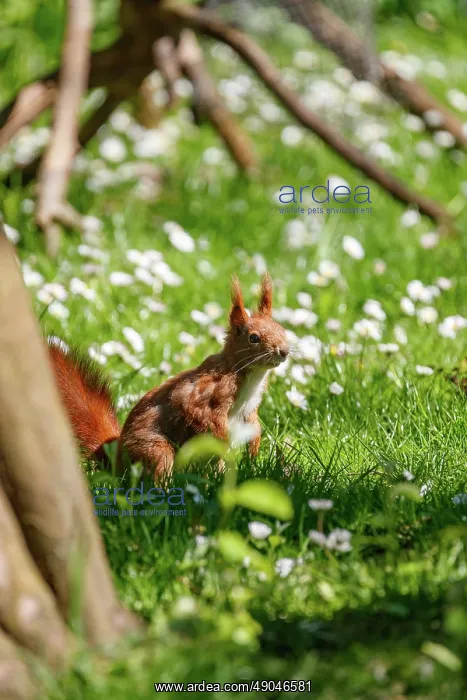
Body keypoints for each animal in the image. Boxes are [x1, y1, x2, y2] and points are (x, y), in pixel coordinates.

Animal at [48, 275, 289, 480]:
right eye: (253, 338)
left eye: (283, 330)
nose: (284, 351)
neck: (250, 374)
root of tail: (117, 462)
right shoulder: (207, 393)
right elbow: (204, 417)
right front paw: (226, 443)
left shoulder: (250, 407)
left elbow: (253, 424)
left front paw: (253, 452)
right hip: (155, 450)